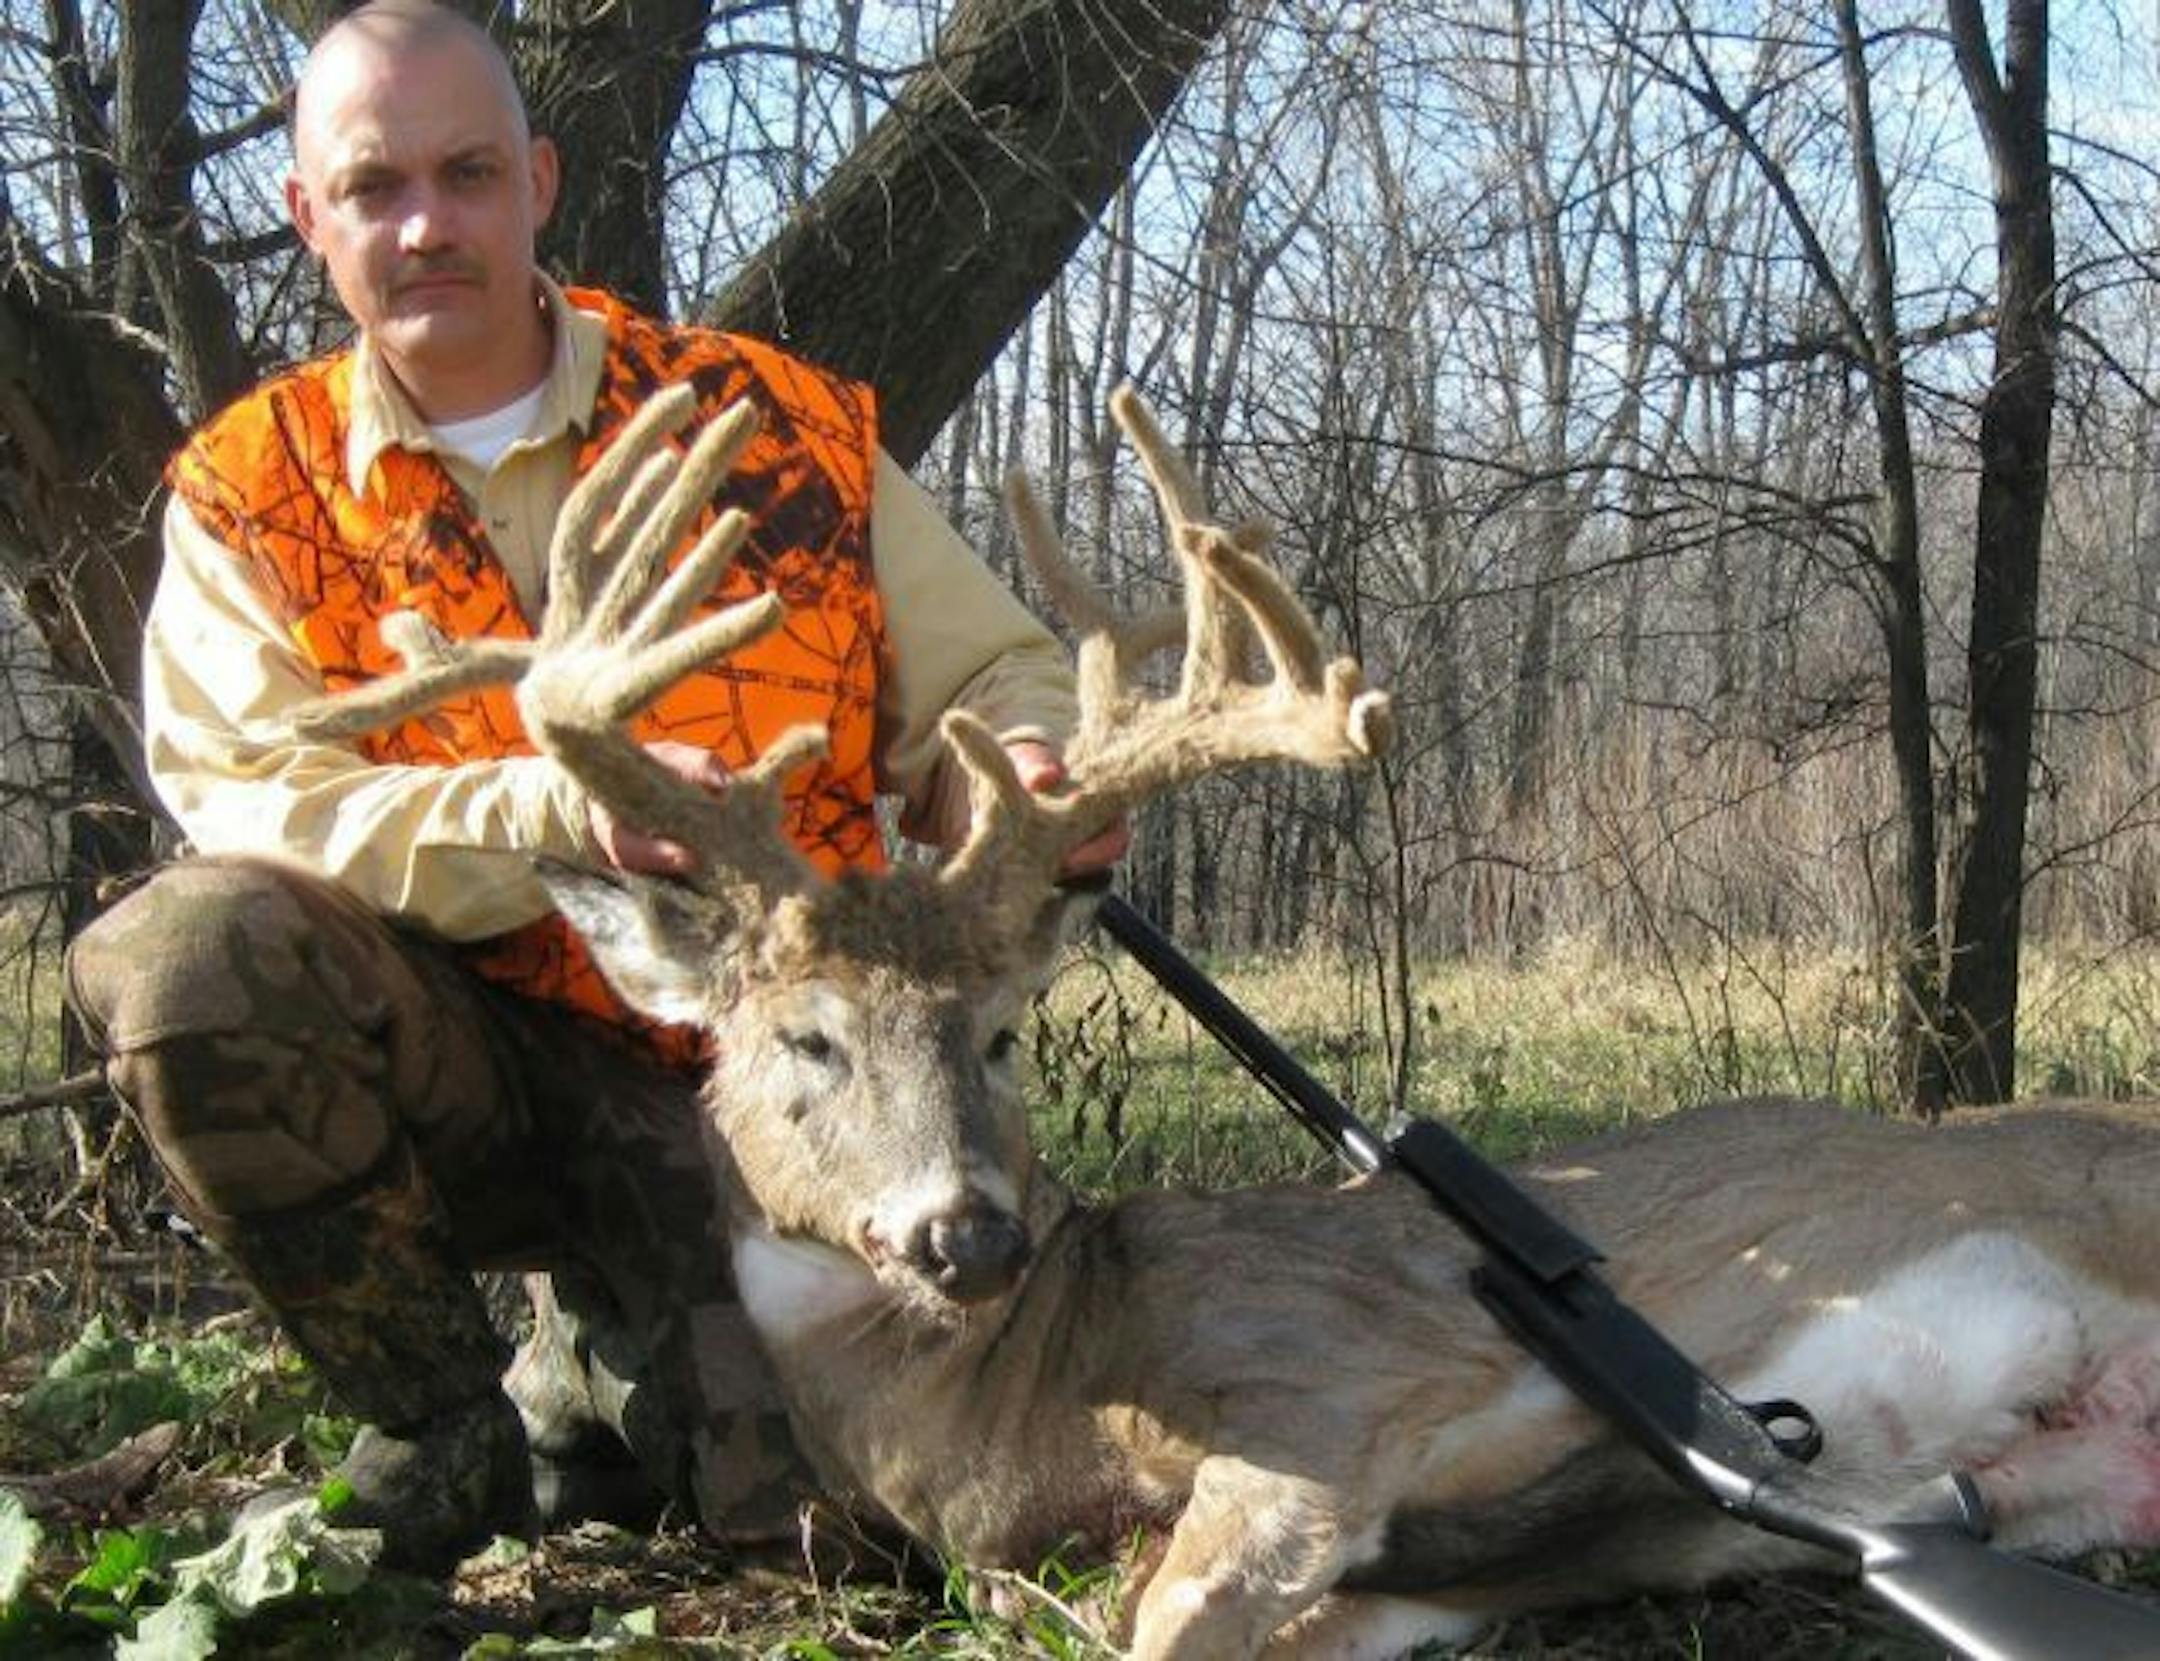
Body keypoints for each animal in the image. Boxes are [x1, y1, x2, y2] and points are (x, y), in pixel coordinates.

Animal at [286, 384, 2160, 1658]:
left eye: (999, 1033)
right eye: (803, 1038)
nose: (969, 1233)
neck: (1002, 1397)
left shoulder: (1317, 1388)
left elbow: (1155, 1620)